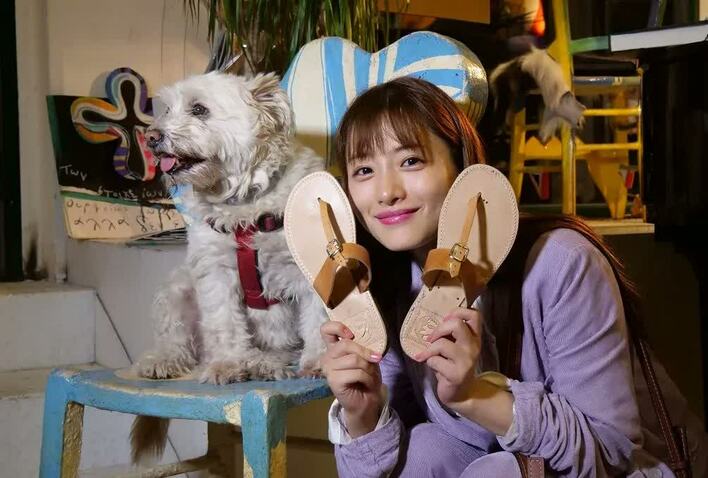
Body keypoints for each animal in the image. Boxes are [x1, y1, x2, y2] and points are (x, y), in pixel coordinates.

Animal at [130, 71, 328, 462]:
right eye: (167, 109)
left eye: (199, 109)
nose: (152, 137)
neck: (246, 205)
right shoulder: (215, 272)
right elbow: (224, 323)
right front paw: (229, 364)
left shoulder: (310, 267)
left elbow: (317, 321)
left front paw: (319, 361)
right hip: (177, 289)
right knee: (179, 340)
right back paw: (166, 360)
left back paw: (267, 365)